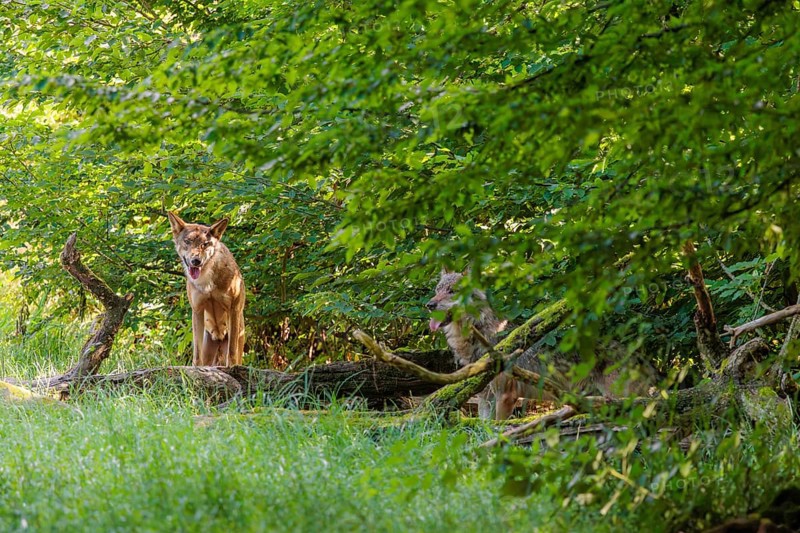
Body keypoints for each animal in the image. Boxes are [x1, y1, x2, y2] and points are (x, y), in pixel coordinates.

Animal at [167, 211, 245, 367]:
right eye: (188, 242)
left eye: (205, 244)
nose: (196, 261)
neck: (206, 281)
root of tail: (219, 338)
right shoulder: (197, 310)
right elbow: (196, 354)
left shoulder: (233, 309)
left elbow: (232, 352)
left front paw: (232, 367)